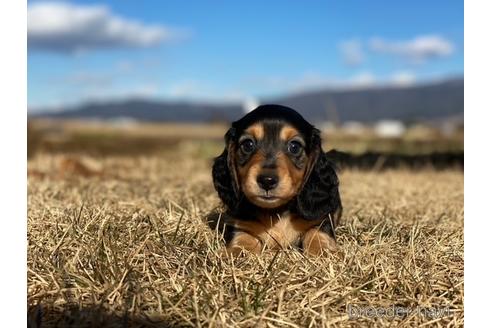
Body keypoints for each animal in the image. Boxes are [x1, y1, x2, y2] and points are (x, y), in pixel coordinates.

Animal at [210, 104, 342, 256]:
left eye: (294, 146)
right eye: (248, 144)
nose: (267, 181)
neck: (276, 211)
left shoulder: (322, 220)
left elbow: (317, 234)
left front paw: (323, 251)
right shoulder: (241, 224)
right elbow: (243, 238)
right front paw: (236, 251)